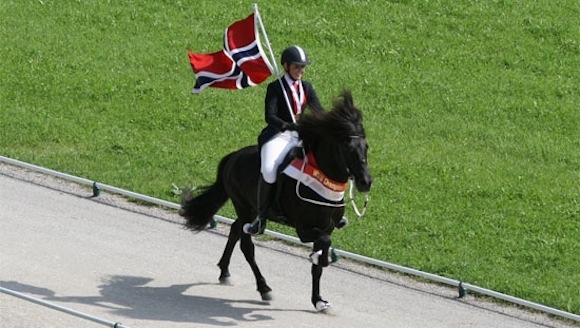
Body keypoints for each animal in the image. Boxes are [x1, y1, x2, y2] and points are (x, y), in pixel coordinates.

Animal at [179, 89, 374, 310]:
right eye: (347, 147)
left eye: (366, 146)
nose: (365, 182)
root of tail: (233, 156)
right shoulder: (304, 229)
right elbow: (323, 246)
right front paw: (318, 259)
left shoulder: (328, 226)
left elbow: (318, 264)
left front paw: (318, 300)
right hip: (244, 207)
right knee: (246, 245)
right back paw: (264, 288)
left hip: (248, 210)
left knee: (236, 230)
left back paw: (225, 272)